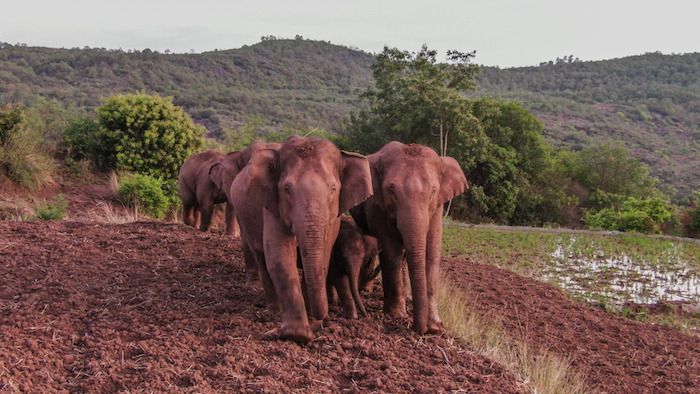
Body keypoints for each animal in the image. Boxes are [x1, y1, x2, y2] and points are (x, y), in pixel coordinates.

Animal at [230, 136, 372, 342]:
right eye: (287, 189)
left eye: (333, 188)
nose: (320, 318)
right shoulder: (273, 205)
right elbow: (279, 255)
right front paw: (297, 334)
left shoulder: (334, 216)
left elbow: (324, 255)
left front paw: (310, 320)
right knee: (261, 256)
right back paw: (272, 311)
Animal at [350, 142, 470, 336]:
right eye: (391, 190)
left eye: (433, 191)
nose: (421, 330)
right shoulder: (377, 206)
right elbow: (390, 252)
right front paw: (397, 315)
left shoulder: (437, 208)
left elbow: (432, 252)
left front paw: (436, 326)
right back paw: (366, 290)